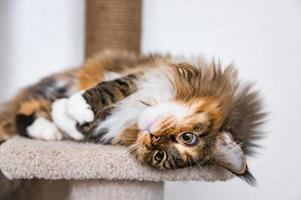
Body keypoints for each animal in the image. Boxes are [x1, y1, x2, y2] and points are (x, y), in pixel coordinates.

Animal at [0, 51, 264, 184]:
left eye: (159, 156)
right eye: (188, 138)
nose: (154, 136)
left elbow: (82, 124)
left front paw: (67, 113)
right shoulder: (143, 75)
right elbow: (112, 87)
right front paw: (75, 106)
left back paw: (50, 129)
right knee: (21, 111)